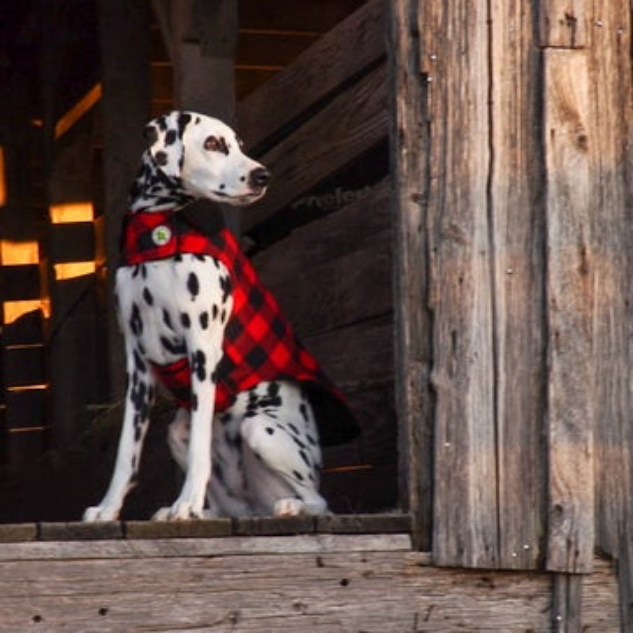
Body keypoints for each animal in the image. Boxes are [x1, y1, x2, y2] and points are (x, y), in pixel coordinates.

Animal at [84, 111, 358, 520]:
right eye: (213, 143)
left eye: (240, 145)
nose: (262, 175)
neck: (158, 233)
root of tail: (257, 507)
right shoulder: (138, 366)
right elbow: (126, 455)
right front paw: (108, 509)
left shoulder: (203, 351)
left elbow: (202, 448)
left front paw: (185, 502)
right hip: (177, 435)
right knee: (234, 509)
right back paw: (206, 511)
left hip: (261, 429)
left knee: (320, 502)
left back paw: (290, 505)